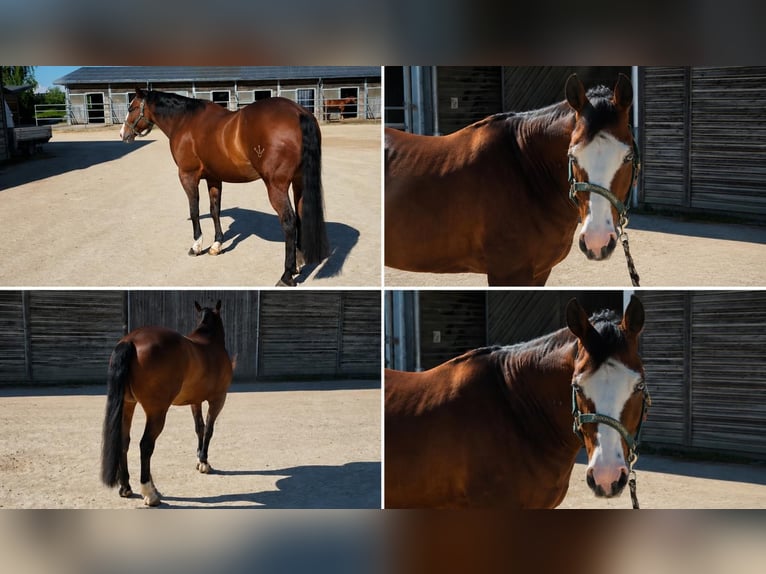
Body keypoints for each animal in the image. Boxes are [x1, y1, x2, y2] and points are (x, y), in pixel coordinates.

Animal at [101, 300, 234, 507]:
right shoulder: (218, 399)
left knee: (124, 442)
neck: (210, 341)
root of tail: (131, 340)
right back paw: (150, 493)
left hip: (128, 405)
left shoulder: (195, 401)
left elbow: (199, 428)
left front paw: (199, 459)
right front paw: (204, 462)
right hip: (157, 411)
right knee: (145, 445)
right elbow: (209, 430)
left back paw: (126, 487)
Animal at [120, 88, 329, 287]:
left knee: (289, 222)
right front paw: (216, 245)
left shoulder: (187, 176)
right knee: (300, 216)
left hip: (276, 186)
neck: (185, 121)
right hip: (298, 183)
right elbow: (215, 210)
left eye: (131, 108)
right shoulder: (214, 178)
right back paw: (298, 265)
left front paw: (196, 246)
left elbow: (194, 210)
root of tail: (298, 112)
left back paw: (286, 275)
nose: (123, 134)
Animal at [384, 74, 639, 286]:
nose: (597, 241)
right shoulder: (508, 273)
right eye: (572, 156)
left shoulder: (539, 272)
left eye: (628, 157)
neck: (525, 169)